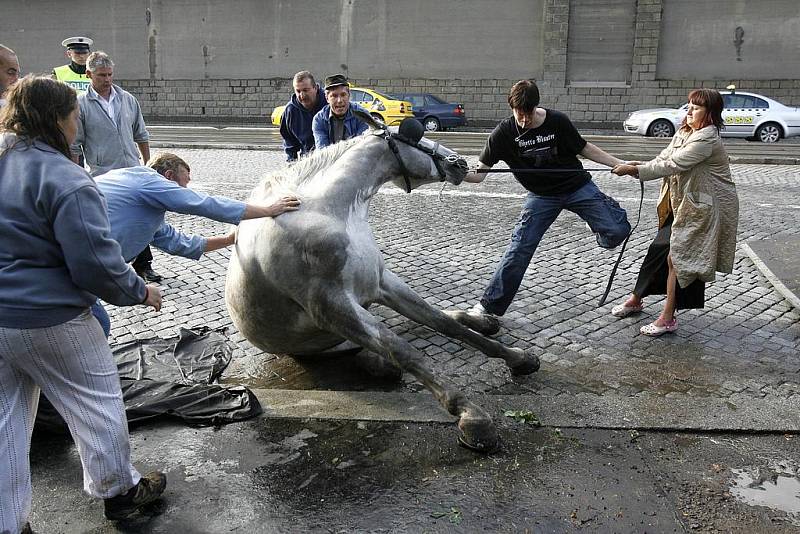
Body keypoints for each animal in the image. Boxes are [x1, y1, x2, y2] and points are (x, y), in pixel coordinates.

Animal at [225, 117, 536, 452]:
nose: (461, 163)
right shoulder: (332, 306)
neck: (326, 211)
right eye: (415, 134)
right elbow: (403, 351)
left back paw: (480, 321)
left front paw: (518, 357)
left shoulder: (381, 283)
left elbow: (442, 323)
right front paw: (471, 415)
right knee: (382, 358)